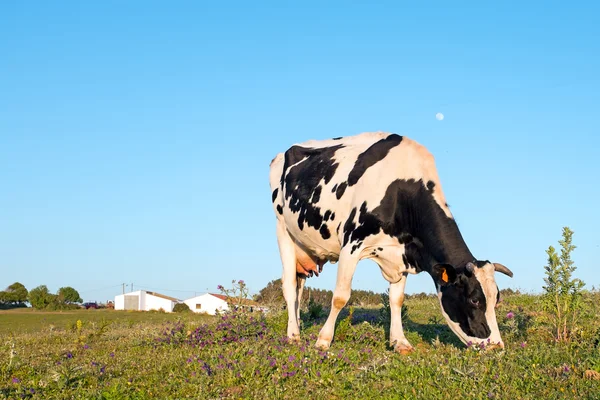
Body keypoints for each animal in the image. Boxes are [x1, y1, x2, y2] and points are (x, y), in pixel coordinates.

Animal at [270, 132, 512, 354]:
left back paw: (297, 326)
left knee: (299, 286)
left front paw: (399, 342)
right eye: (474, 300)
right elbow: (340, 296)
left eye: (497, 299)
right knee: (290, 286)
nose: (496, 346)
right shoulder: (351, 244)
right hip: (283, 229)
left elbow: (397, 300)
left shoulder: (401, 254)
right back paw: (293, 336)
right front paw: (323, 340)